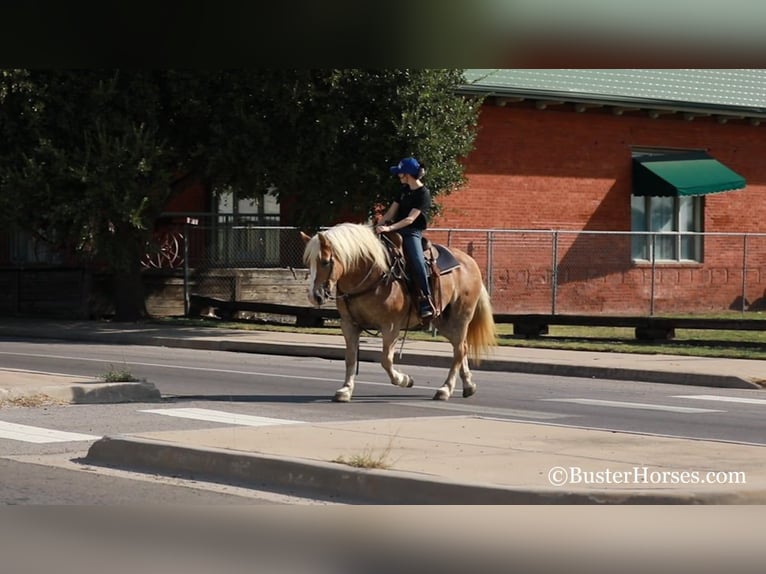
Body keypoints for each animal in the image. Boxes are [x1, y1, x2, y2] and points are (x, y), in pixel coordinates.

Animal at [300, 223, 498, 402]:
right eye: (308, 263)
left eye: (325, 262)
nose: (314, 296)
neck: (371, 275)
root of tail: (470, 262)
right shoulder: (349, 324)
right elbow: (350, 357)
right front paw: (345, 390)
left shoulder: (391, 326)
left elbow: (386, 360)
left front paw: (405, 380)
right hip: (443, 321)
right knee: (461, 347)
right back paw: (468, 385)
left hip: (461, 316)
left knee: (459, 350)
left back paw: (445, 389)